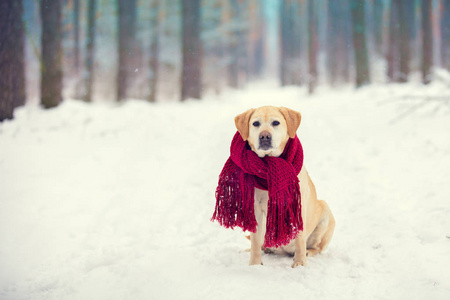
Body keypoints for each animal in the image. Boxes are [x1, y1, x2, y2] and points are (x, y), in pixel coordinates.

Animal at [234, 105, 336, 268]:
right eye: (256, 124)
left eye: (276, 123)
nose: (264, 136)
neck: (269, 164)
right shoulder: (255, 208)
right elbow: (254, 242)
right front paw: (255, 265)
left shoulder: (297, 205)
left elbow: (300, 239)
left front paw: (300, 263)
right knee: (260, 243)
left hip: (325, 212)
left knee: (316, 247)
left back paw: (308, 252)